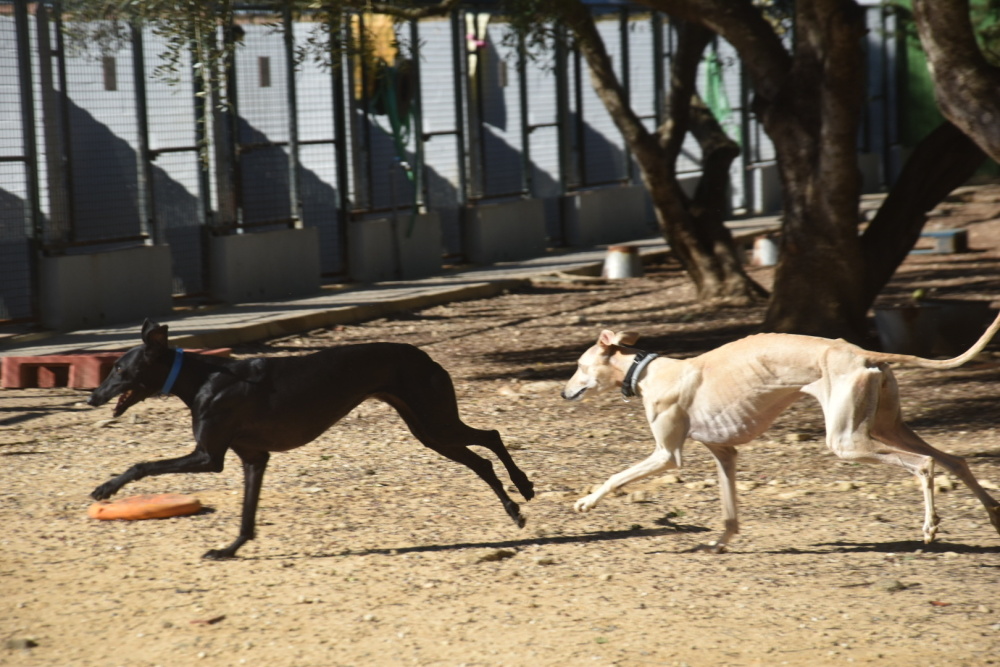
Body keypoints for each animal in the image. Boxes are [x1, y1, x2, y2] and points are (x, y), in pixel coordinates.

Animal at [88, 319, 534, 559]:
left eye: (119, 370)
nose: (91, 397)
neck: (203, 378)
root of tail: (425, 356)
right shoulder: (254, 458)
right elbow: (247, 516)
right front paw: (230, 549)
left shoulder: (207, 457)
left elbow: (142, 463)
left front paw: (105, 487)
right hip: (428, 431)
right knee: (481, 460)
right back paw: (513, 509)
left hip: (436, 422)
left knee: (491, 437)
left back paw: (524, 486)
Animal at [562, 318, 1000, 551]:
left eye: (580, 366)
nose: (564, 393)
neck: (647, 371)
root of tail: (863, 353)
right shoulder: (725, 453)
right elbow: (730, 512)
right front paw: (718, 544)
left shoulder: (666, 455)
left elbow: (616, 476)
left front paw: (586, 502)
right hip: (886, 425)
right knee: (955, 460)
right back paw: (993, 515)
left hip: (846, 440)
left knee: (924, 463)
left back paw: (930, 527)